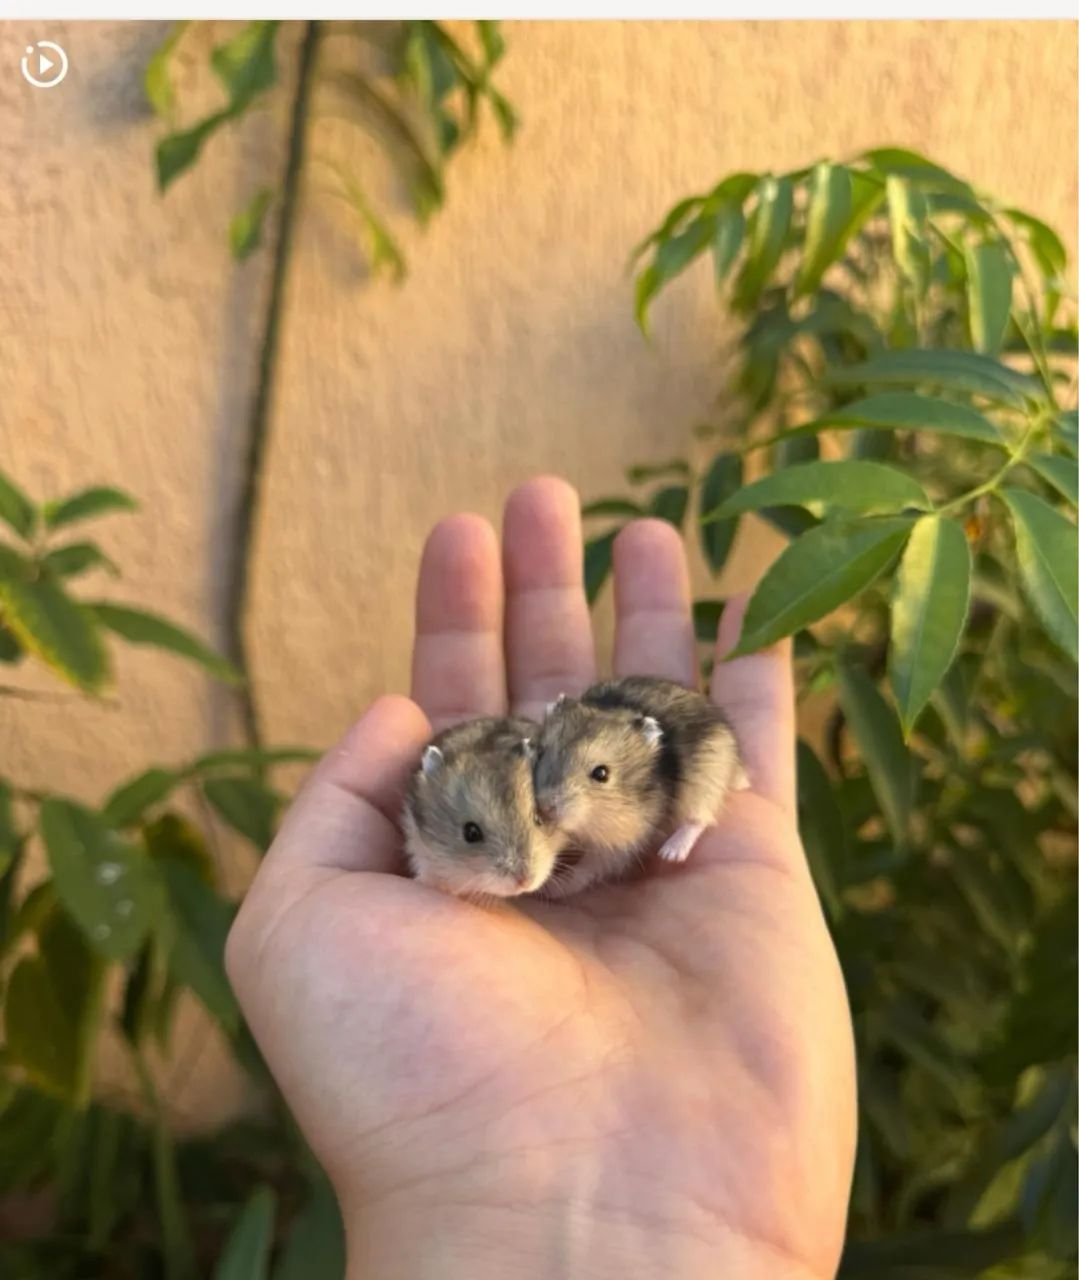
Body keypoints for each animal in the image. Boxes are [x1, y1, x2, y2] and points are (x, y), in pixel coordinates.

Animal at [532, 676, 747, 895]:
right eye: (539, 752)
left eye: (601, 773)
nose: (545, 808)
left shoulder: (623, 842)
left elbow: (589, 867)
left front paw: (552, 889)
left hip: (706, 780)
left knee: (699, 819)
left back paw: (670, 852)